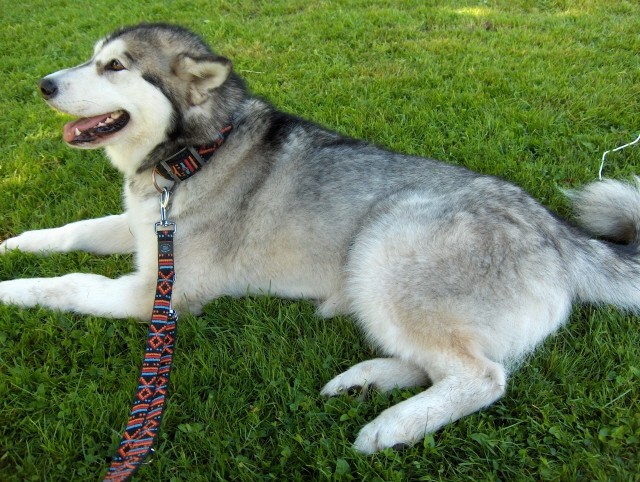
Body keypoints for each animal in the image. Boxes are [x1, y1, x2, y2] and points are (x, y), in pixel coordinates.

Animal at [1, 22, 640, 452]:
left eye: (116, 67)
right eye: (92, 59)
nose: (43, 84)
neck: (194, 155)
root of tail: (557, 231)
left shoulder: (161, 293)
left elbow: (66, 285)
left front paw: (11, 290)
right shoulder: (140, 229)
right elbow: (71, 233)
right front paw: (14, 245)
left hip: (382, 248)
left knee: (482, 376)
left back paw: (390, 425)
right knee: (442, 363)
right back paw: (367, 382)